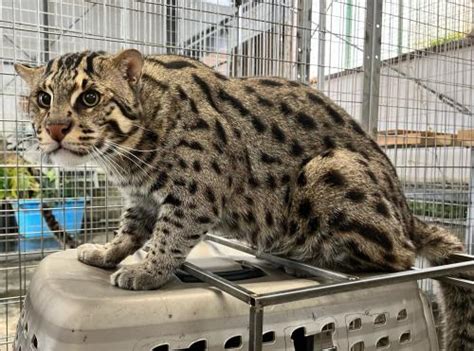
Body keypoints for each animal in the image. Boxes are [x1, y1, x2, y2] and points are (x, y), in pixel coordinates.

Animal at [15, 48, 474, 350]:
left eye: (89, 98)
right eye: (43, 98)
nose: (54, 128)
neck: (131, 147)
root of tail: (408, 213)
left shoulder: (198, 192)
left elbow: (169, 235)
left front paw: (148, 270)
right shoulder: (142, 197)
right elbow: (130, 230)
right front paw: (107, 252)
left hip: (330, 171)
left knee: (399, 255)